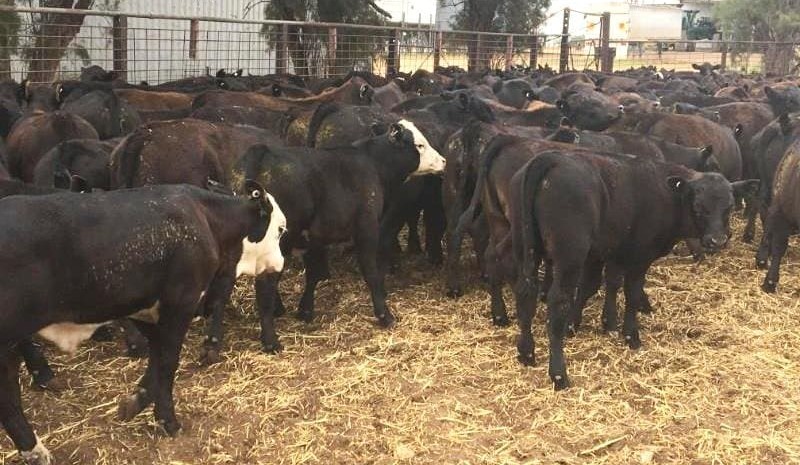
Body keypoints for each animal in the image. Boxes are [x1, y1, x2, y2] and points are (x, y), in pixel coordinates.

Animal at [0, 181, 285, 465]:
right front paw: (167, 420)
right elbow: (168, 363)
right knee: (9, 398)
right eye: (281, 229)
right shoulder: (180, 304)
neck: (206, 217)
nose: (280, 265)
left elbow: (156, 362)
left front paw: (135, 401)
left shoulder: (148, 311)